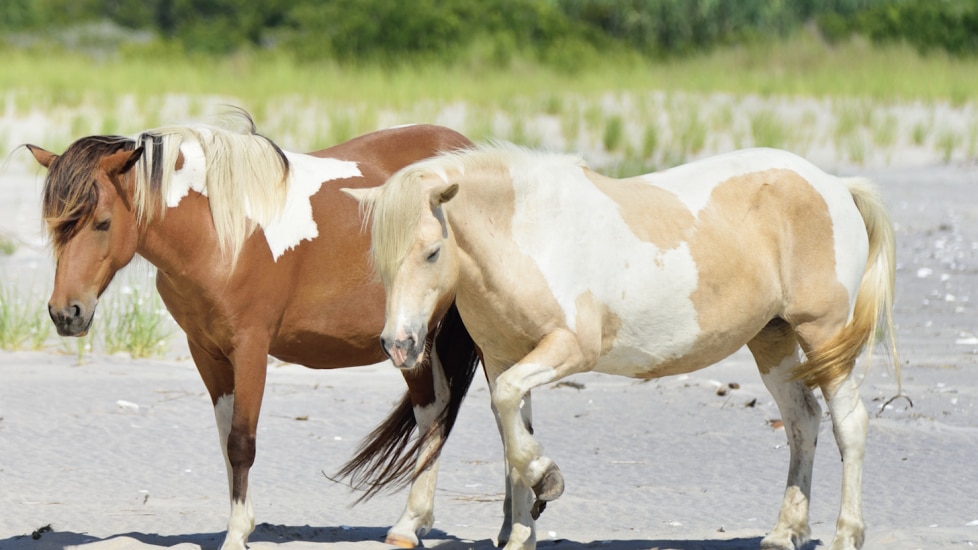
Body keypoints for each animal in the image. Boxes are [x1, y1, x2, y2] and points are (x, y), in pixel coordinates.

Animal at [25, 112, 481, 550]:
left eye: (102, 223)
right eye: (54, 224)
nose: (66, 312)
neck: (220, 233)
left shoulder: (250, 348)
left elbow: (242, 442)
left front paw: (236, 535)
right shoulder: (206, 352)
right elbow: (226, 441)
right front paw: (238, 526)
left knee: (437, 411)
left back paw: (410, 523)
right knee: (434, 410)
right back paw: (412, 523)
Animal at [343, 144, 899, 550]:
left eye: (433, 252)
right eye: (380, 260)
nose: (399, 344)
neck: (529, 235)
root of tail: (835, 186)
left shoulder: (568, 349)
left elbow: (506, 407)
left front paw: (546, 480)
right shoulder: (505, 359)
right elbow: (510, 428)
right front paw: (523, 528)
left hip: (823, 335)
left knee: (849, 423)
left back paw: (847, 534)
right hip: (773, 338)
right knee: (803, 421)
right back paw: (786, 532)